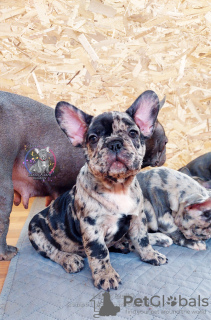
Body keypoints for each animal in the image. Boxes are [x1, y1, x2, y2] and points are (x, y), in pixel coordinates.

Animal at [28, 90, 168, 290]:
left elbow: (143, 239)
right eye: (93, 138)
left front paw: (150, 255)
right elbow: (100, 253)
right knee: (52, 252)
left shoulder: (137, 219)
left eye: (133, 133)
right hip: (36, 231)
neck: (118, 187)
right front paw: (106, 275)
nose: (115, 143)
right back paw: (70, 259)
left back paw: (126, 244)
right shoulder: (93, 229)